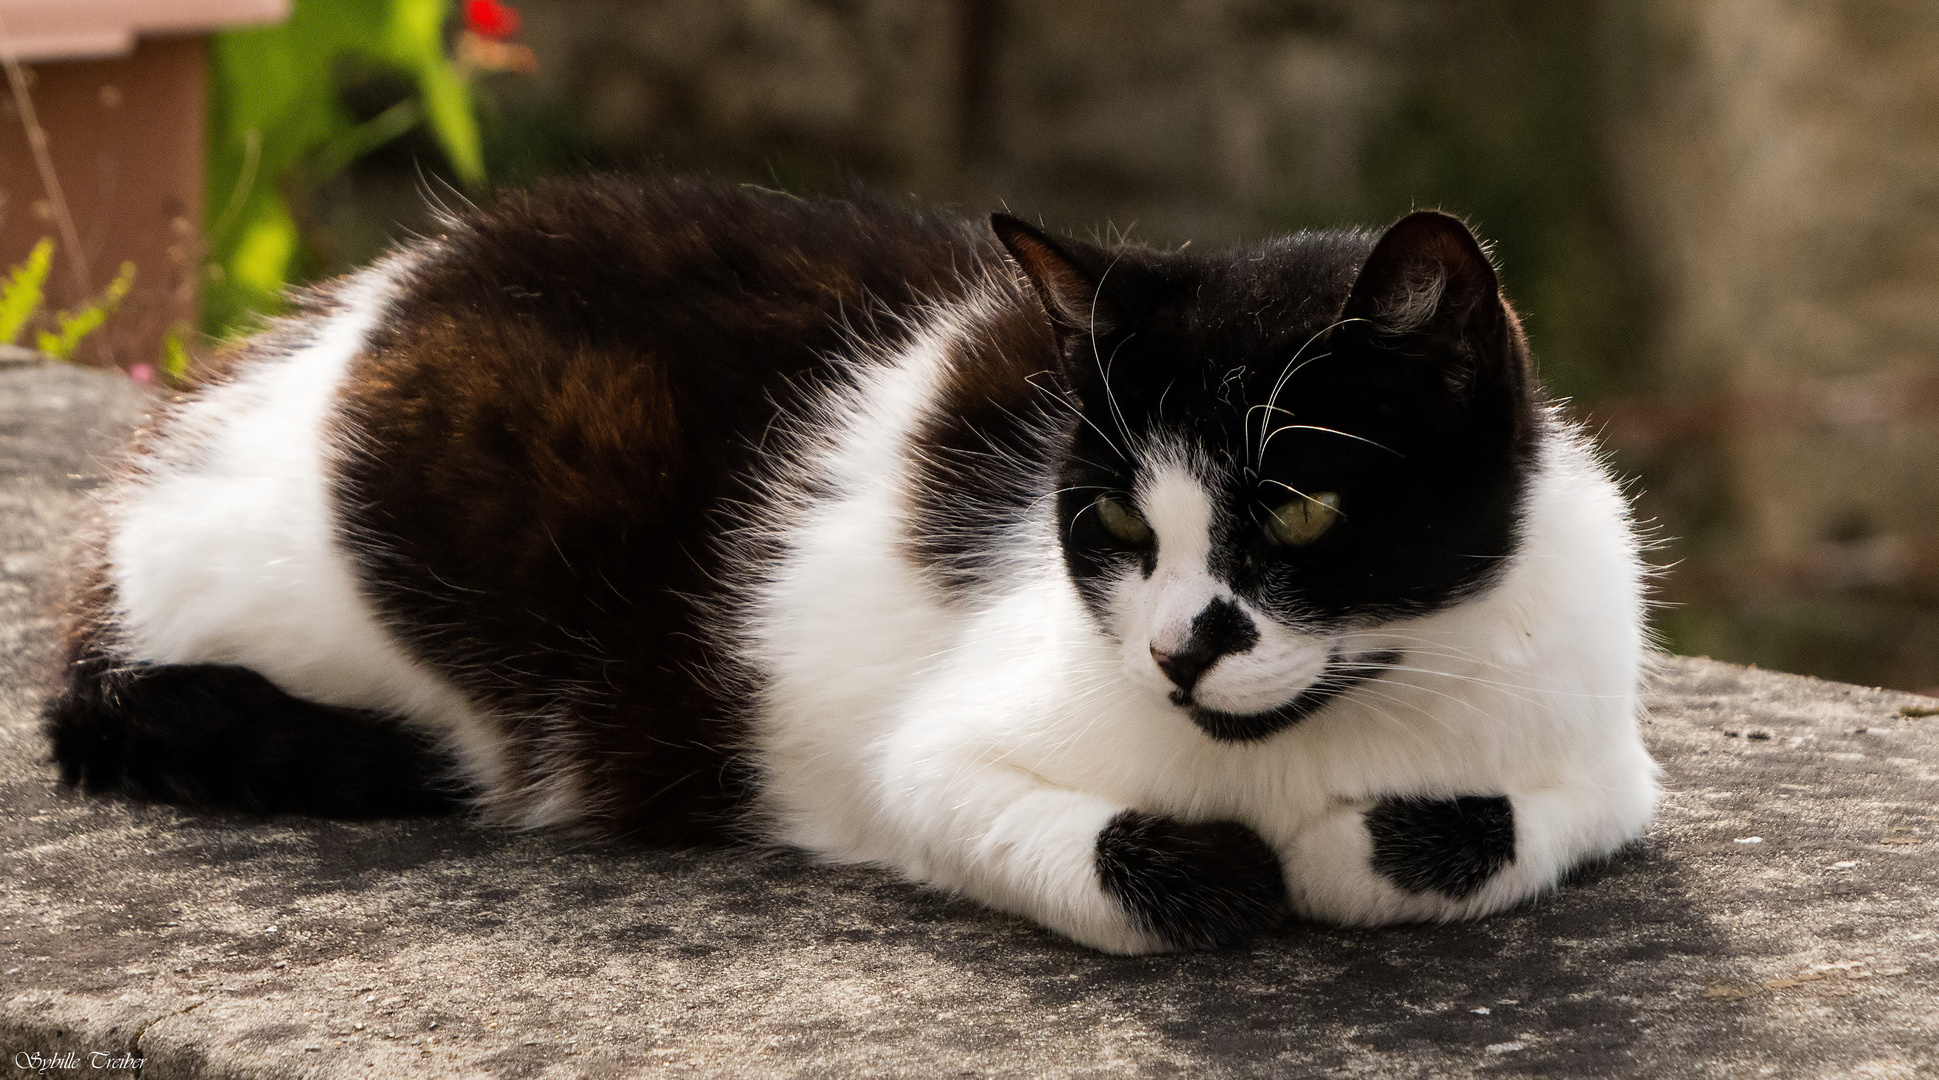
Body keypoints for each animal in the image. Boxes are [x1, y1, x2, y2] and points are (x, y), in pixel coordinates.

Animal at [45, 174, 1652, 950]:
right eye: (1118, 525)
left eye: (1302, 511)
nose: (1177, 649)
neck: (1311, 737)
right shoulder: (919, 758)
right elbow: (1165, 872)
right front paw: (1237, 861)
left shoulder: (1606, 755)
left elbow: (1460, 838)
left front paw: (1356, 840)